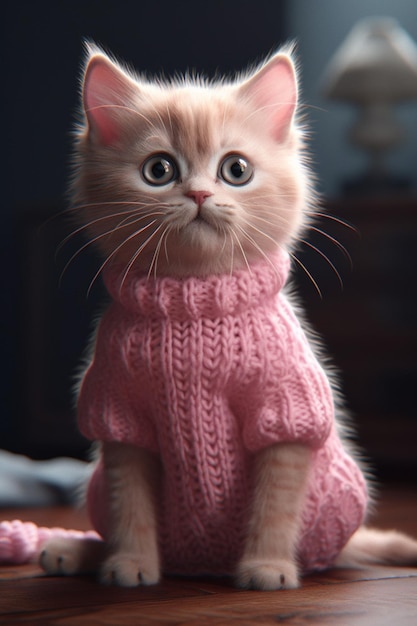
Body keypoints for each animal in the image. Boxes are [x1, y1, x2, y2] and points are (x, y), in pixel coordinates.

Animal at [40, 45, 416, 588]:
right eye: (159, 170)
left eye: (235, 169)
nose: (198, 194)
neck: (193, 301)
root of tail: (200, 563)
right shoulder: (121, 420)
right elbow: (129, 500)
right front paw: (130, 561)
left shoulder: (286, 416)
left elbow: (276, 503)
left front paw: (268, 566)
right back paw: (73, 550)